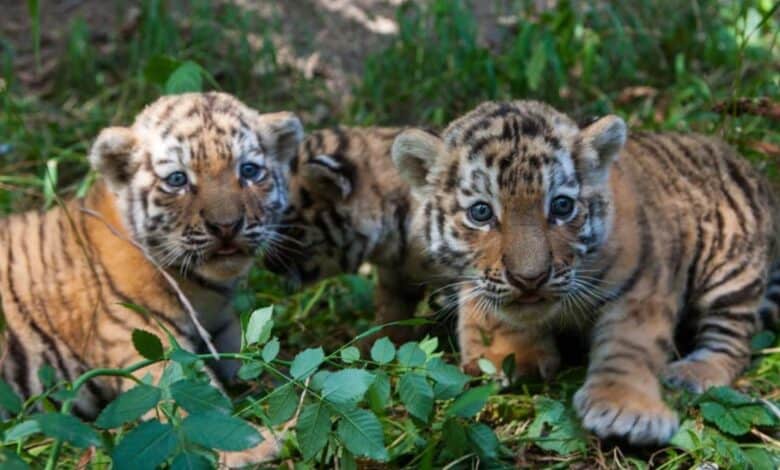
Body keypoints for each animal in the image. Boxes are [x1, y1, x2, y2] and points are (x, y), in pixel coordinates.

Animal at [0, 92, 303, 464]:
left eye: (248, 171)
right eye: (177, 180)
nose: (226, 226)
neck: (203, 290)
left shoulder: (225, 332)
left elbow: (269, 365)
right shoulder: (148, 342)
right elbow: (198, 407)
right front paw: (262, 442)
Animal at [391, 99, 779, 445]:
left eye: (562, 206)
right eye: (481, 213)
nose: (529, 279)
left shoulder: (643, 285)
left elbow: (629, 344)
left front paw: (626, 409)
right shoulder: (480, 281)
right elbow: (492, 315)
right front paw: (506, 358)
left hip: (730, 270)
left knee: (734, 343)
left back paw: (692, 373)